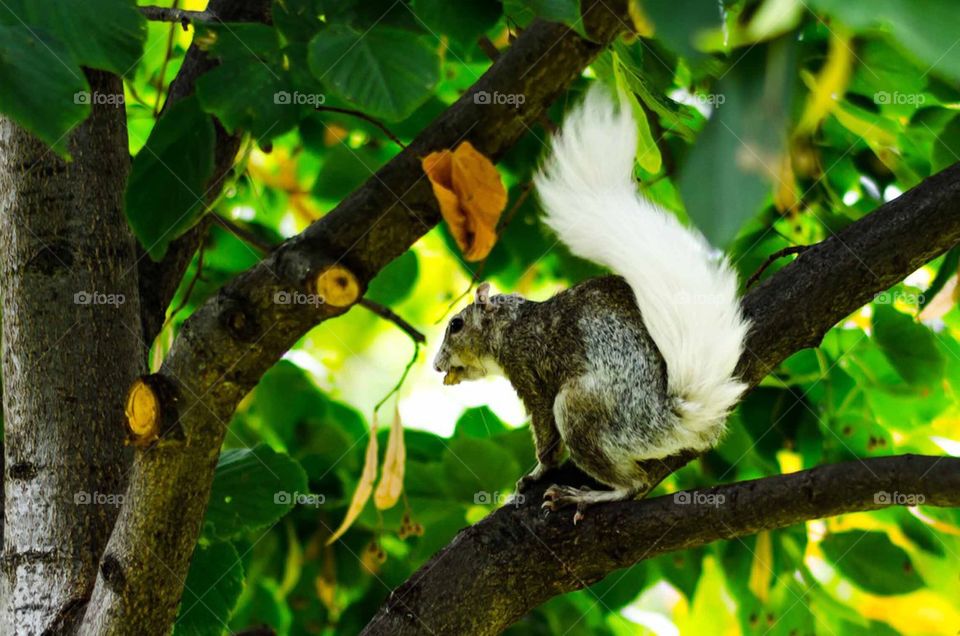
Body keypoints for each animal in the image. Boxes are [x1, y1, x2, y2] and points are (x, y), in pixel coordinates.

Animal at [433, 85, 750, 522]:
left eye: (456, 325)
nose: (437, 365)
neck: (513, 322)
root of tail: (668, 419)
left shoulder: (528, 371)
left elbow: (546, 437)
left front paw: (536, 474)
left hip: (579, 408)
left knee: (632, 483)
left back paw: (584, 496)